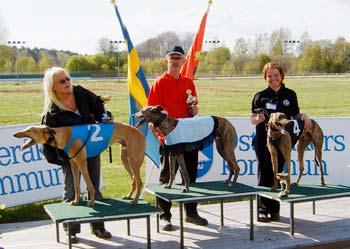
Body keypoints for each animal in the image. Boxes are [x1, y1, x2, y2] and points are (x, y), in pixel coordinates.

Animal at [13, 120, 145, 206]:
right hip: (125, 159)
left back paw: (135, 201)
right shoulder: (74, 165)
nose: (14, 134)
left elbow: (90, 185)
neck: (62, 135)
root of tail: (138, 130)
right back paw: (129, 196)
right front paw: (76, 201)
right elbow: (76, 185)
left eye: (29, 130)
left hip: (133, 161)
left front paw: (91, 202)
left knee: (139, 182)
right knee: (133, 180)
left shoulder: (82, 163)